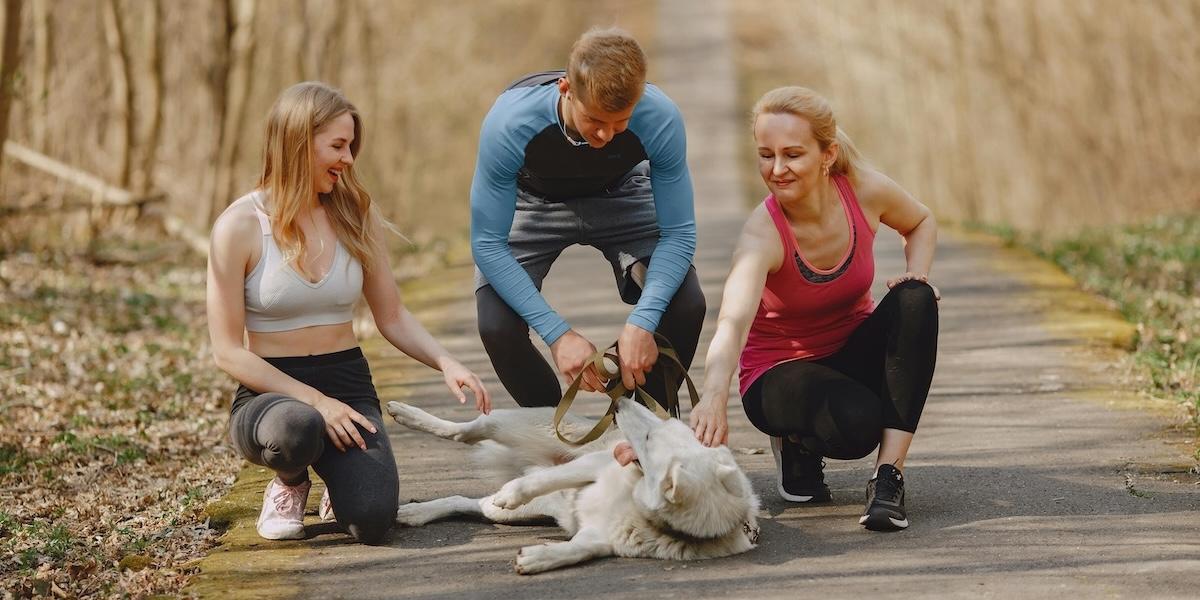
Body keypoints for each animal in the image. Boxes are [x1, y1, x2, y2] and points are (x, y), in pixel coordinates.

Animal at [384, 396, 758, 573]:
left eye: (650, 438)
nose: (618, 402)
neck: (638, 504)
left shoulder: (600, 538)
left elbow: (580, 549)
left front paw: (538, 558)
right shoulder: (594, 464)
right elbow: (547, 479)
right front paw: (514, 491)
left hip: (512, 513)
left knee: (468, 502)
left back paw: (414, 514)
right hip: (520, 424)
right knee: (470, 430)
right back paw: (407, 414)